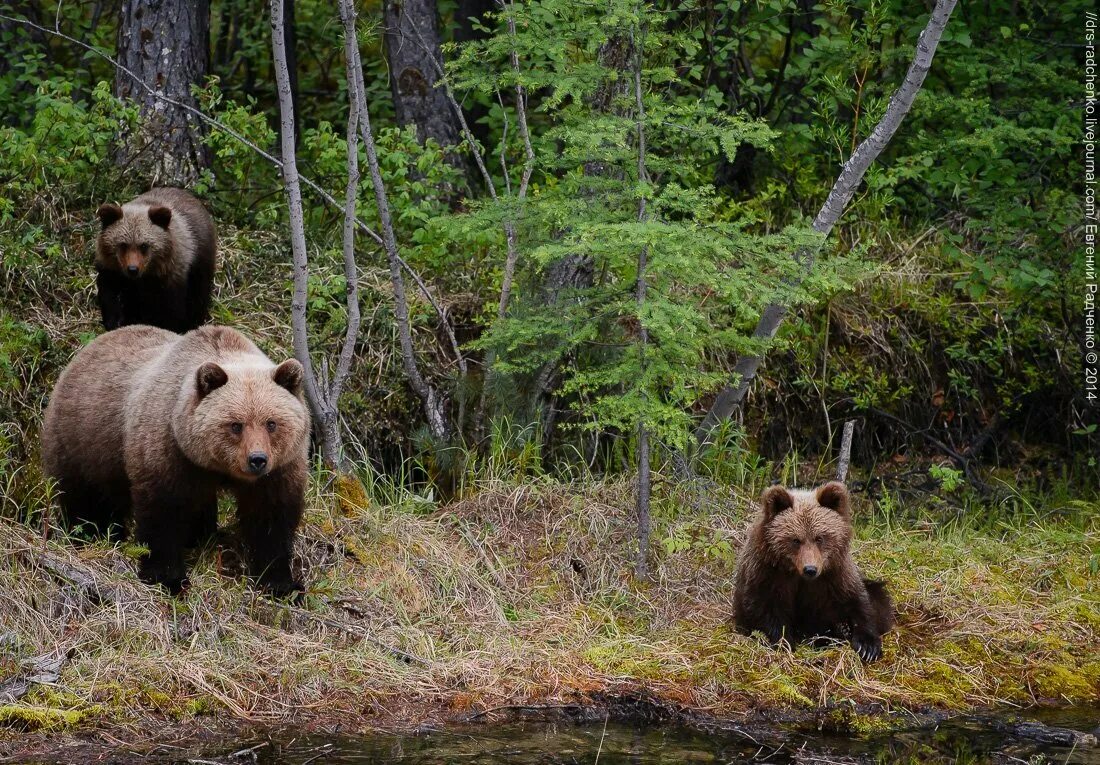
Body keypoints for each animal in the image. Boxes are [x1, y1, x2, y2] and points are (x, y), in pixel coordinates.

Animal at [42, 325, 310, 594]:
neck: (216, 467)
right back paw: (87, 534)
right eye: (236, 425)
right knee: (85, 499)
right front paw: (168, 578)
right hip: (84, 442)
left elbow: (271, 519)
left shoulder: (279, 469)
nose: (257, 459)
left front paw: (281, 584)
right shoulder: (168, 450)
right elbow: (163, 514)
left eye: (271, 423)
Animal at [94, 188, 216, 332]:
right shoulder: (112, 272)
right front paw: (116, 322)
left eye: (144, 245)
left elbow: (172, 313)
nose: (133, 269)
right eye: (123, 245)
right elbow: (111, 299)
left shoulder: (171, 280)